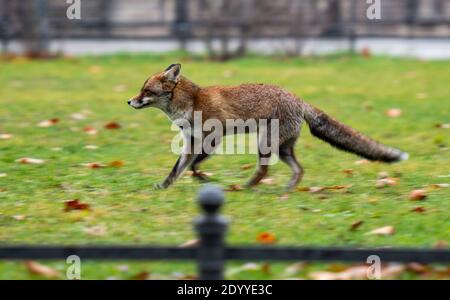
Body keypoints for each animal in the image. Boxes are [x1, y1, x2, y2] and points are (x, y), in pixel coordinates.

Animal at [126, 63, 408, 190]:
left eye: (146, 91)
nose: (129, 101)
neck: (192, 101)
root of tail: (297, 98)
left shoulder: (214, 137)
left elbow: (194, 165)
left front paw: (202, 177)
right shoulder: (192, 141)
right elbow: (178, 169)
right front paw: (164, 187)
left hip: (265, 145)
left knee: (264, 170)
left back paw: (247, 188)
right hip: (282, 149)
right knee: (299, 169)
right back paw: (287, 190)